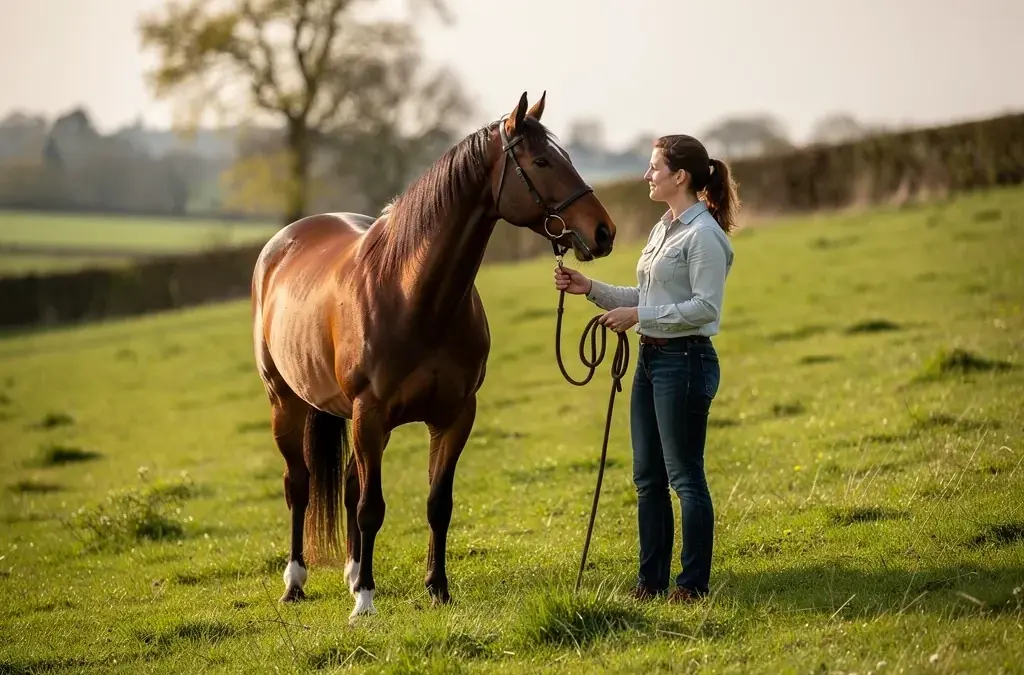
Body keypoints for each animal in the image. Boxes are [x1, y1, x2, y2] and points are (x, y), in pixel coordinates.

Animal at [251, 91, 617, 620]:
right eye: (542, 162)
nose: (604, 231)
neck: (411, 295)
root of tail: (282, 243)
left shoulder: (454, 415)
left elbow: (436, 504)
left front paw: (436, 588)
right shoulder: (370, 414)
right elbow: (372, 508)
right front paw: (365, 603)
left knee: (348, 484)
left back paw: (352, 572)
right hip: (287, 403)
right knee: (299, 484)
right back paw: (296, 582)